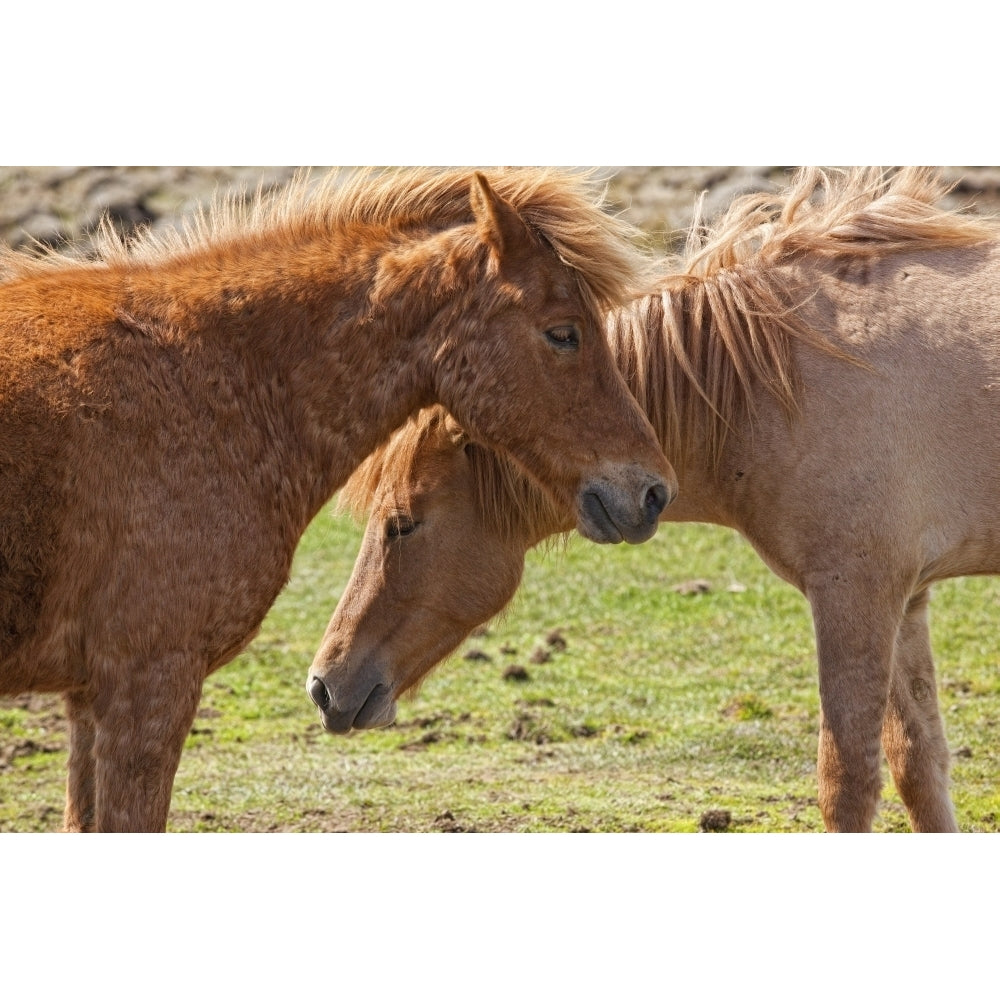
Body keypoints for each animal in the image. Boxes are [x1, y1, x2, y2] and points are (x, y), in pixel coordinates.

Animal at [318, 168, 1000, 832]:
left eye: (402, 524)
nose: (324, 685)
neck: (777, 381)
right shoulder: (906, 599)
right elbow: (919, 769)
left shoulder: (856, 593)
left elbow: (848, 784)